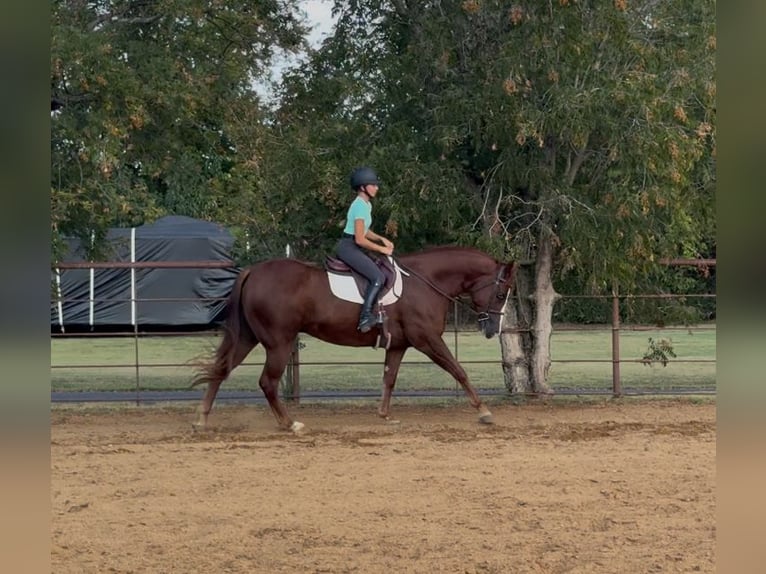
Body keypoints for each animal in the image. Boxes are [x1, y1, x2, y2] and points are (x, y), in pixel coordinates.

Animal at [191, 246, 517, 433]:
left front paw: (384, 415)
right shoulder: (428, 340)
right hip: (279, 343)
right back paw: (289, 423)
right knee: (267, 382)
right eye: (501, 293)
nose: (493, 329)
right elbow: (458, 370)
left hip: (249, 338)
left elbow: (389, 379)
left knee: (222, 370)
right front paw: (484, 411)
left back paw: (202, 418)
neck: (424, 281)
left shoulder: (398, 345)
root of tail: (252, 271)